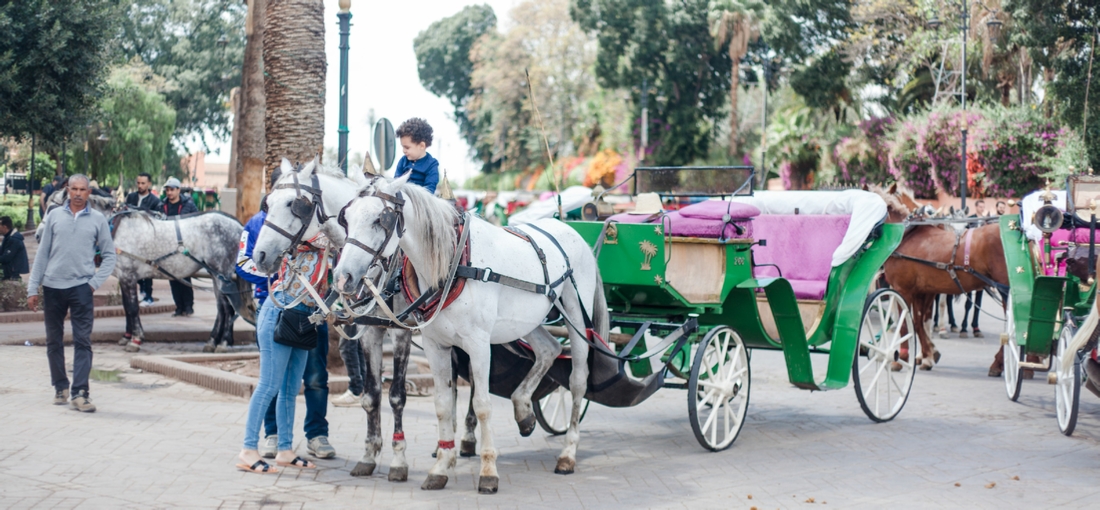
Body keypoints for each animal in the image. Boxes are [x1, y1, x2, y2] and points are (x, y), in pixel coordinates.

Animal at [110, 209, 255, 351]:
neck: (117, 228)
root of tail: (239, 225)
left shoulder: (128, 276)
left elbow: (132, 308)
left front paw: (135, 340)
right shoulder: (123, 278)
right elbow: (126, 307)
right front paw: (127, 336)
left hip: (222, 274)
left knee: (227, 308)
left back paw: (223, 342)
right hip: (216, 276)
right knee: (221, 308)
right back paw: (212, 341)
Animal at [334, 174, 611, 494]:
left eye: (381, 219)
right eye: (346, 218)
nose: (342, 278)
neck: (455, 263)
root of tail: (569, 229)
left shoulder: (478, 345)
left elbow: (482, 404)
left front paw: (488, 471)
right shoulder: (435, 345)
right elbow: (443, 404)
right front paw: (441, 467)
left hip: (576, 315)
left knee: (578, 381)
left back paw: (568, 453)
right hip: (527, 320)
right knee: (549, 349)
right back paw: (523, 409)